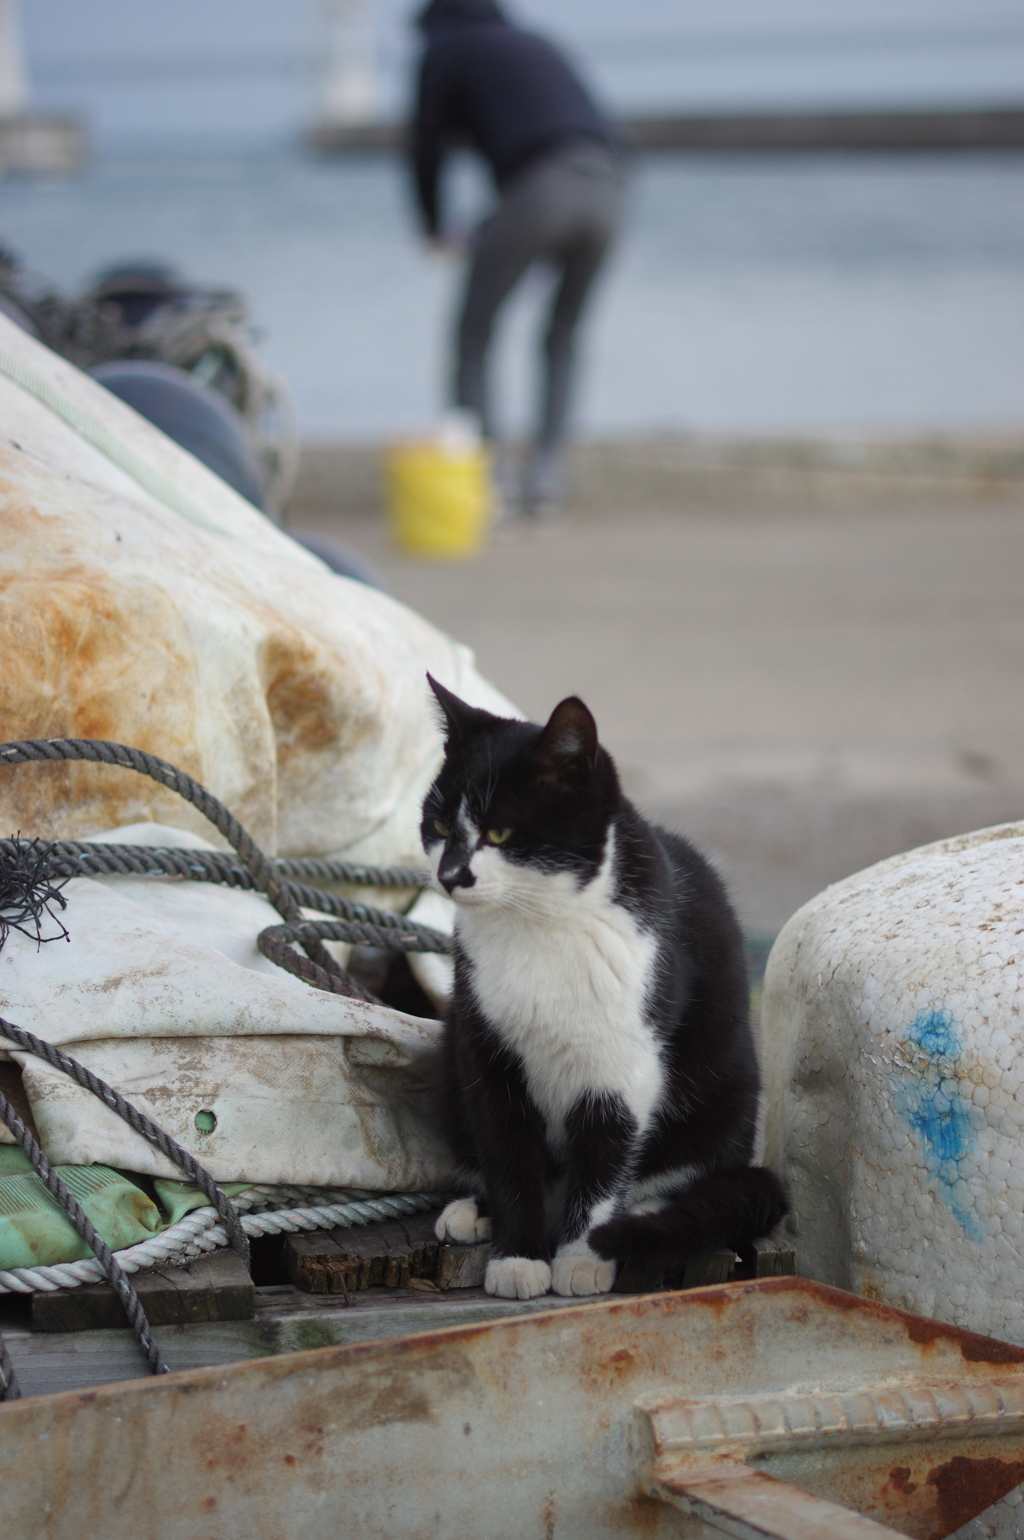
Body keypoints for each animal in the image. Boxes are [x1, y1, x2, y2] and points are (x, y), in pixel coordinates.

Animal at [418, 677, 785, 1299]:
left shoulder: (623, 1067)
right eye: (440, 827)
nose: (449, 876)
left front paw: (582, 1256)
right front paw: (517, 1257)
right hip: (450, 1072)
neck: (538, 925)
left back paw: (644, 1215)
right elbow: (509, 1155)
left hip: (725, 1094)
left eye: (499, 832)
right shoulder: (485, 1052)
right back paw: (474, 1213)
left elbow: (604, 1159)